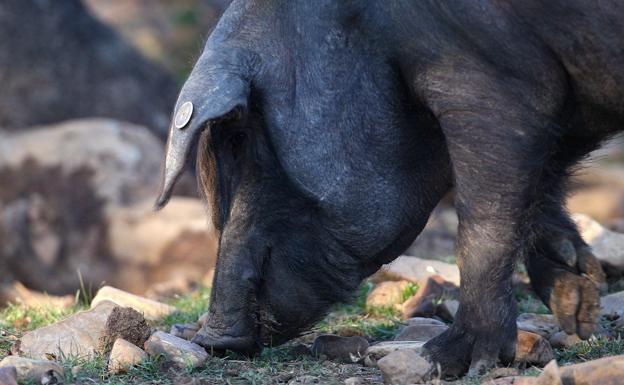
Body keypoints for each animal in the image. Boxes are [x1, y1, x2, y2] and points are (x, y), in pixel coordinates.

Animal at [155, 0, 616, 376]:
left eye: (242, 138)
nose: (211, 340)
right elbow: (540, 185)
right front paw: (577, 297)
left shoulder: (486, 85)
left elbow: (483, 223)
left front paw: (444, 360)